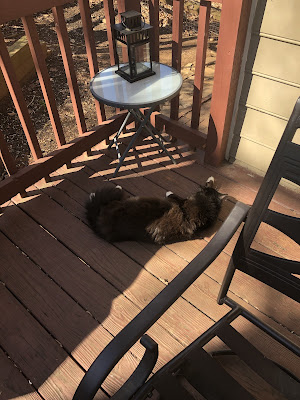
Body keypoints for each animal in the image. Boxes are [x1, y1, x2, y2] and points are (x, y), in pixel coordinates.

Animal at [85, 177, 224, 245]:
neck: (205, 205)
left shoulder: (183, 201)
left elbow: (173, 195)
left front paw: (168, 192)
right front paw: (211, 179)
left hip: (116, 202)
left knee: (98, 200)